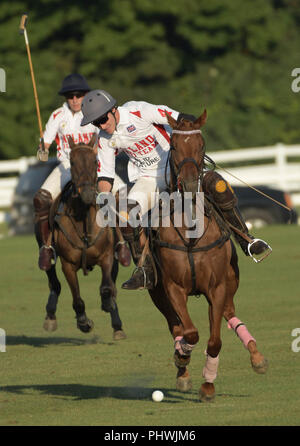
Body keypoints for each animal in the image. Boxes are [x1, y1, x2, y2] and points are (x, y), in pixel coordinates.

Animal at [42, 134, 125, 340]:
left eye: (96, 161)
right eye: (72, 162)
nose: (87, 194)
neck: (84, 221)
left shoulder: (107, 257)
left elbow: (106, 288)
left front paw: (108, 305)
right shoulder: (68, 265)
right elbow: (77, 299)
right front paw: (84, 322)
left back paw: (117, 324)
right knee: (53, 281)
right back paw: (50, 315)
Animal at [149, 111, 268, 400]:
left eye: (201, 145)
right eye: (174, 146)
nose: (192, 184)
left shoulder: (217, 287)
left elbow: (215, 341)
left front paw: (208, 385)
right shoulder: (173, 287)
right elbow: (190, 333)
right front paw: (183, 356)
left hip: (231, 283)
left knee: (230, 314)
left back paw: (257, 357)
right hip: (157, 293)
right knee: (176, 326)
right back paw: (182, 369)